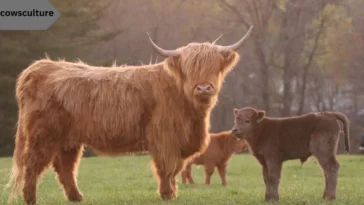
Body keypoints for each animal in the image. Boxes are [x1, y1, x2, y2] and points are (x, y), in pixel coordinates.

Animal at [4, 26, 253, 205]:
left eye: (214, 66)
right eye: (189, 67)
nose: (203, 88)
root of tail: (41, 67)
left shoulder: (181, 141)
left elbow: (177, 168)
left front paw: (172, 192)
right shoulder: (165, 138)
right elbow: (167, 167)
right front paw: (167, 194)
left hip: (69, 140)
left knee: (65, 167)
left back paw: (77, 197)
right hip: (42, 135)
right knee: (32, 165)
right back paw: (31, 199)